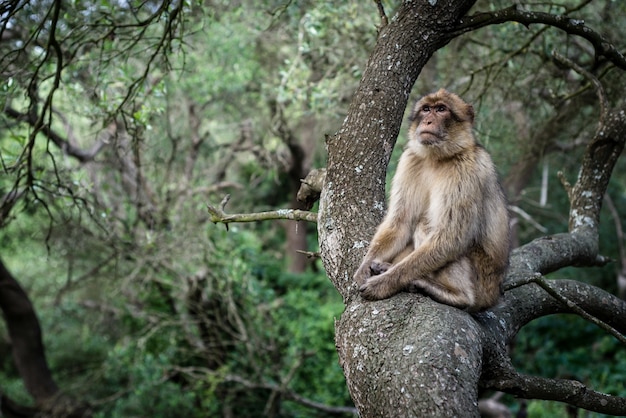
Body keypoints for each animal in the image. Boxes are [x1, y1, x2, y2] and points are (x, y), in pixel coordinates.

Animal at [354, 88, 510, 312]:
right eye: (426, 109)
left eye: (441, 109)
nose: (427, 121)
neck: (437, 158)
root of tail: (496, 292)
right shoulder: (410, 160)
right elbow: (400, 222)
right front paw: (365, 266)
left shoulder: (466, 169)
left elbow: (451, 237)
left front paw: (383, 284)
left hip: (483, 280)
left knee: (427, 226)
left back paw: (456, 295)